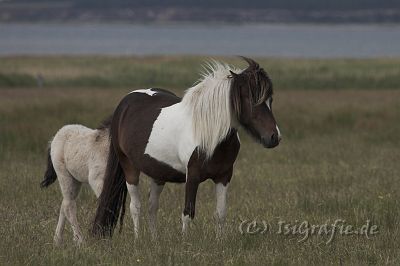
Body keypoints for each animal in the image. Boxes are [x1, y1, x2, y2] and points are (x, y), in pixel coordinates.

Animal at [92, 57, 280, 238]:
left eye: (270, 99)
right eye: (252, 99)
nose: (274, 137)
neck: (208, 132)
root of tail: (125, 104)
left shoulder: (224, 176)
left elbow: (220, 213)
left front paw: (220, 242)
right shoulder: (193, 176)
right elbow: (188, 213)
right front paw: (185, 242)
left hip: (158, 172)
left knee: (152, 206)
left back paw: (154, 240)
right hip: (129, 167)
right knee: (135, 207)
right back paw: (138, 240)